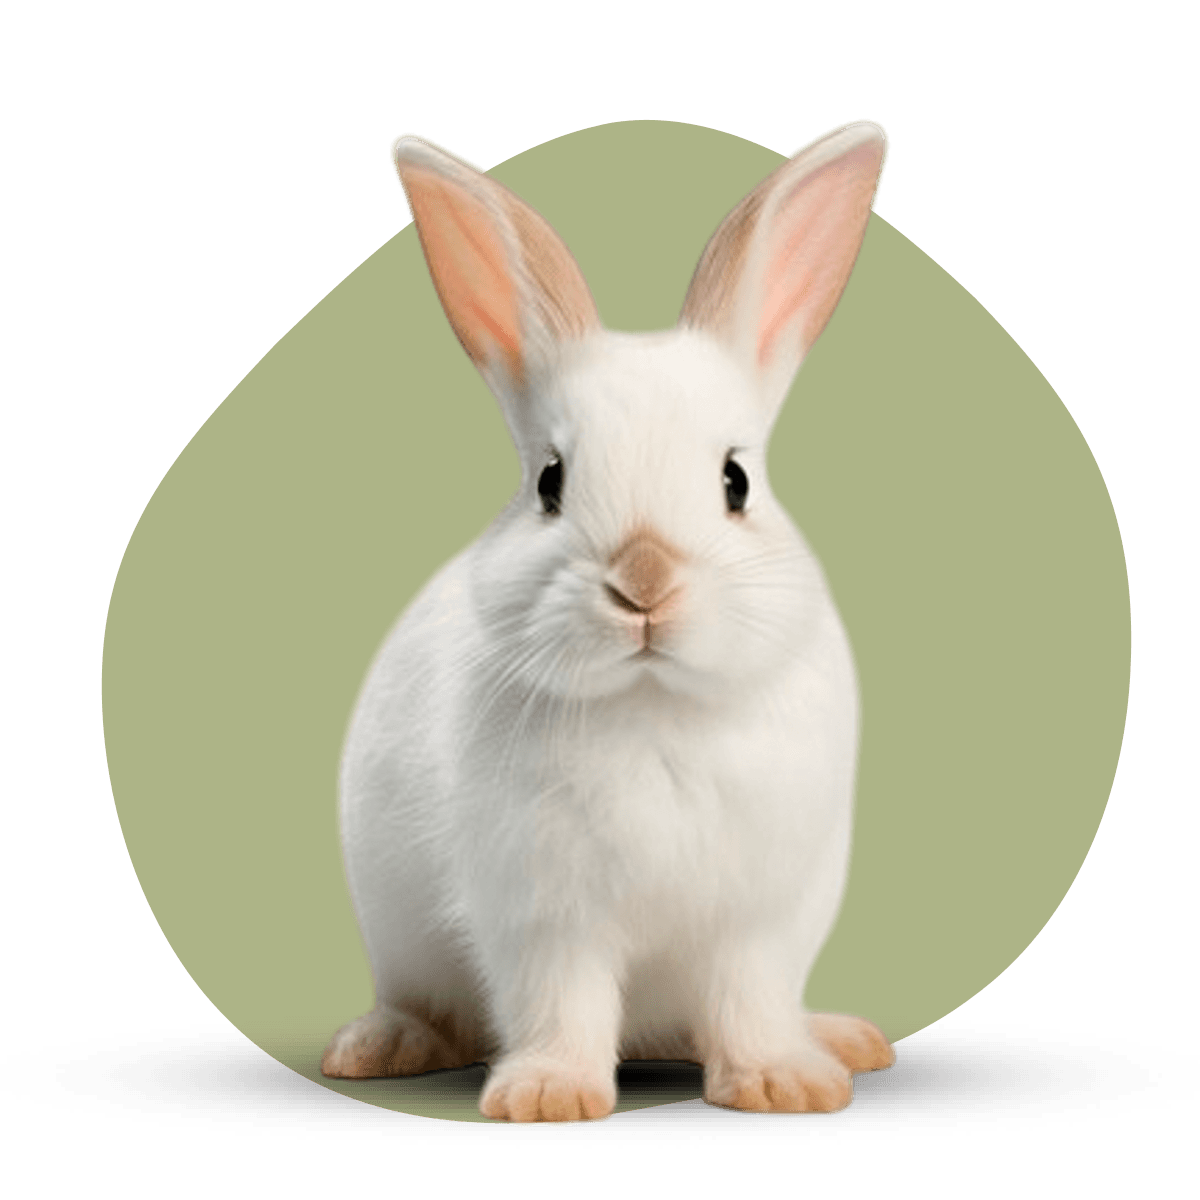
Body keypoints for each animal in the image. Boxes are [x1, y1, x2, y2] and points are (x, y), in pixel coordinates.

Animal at [320, 120, 896, 1125]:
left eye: (736, 480)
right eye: (550, 482)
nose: (644, 581)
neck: (652, 702)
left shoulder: (756, 919)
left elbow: (749, 1001)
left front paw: (783, 1086)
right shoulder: (545, 917)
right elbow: (563, 1001)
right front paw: (547, 1097)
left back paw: (841, 1041)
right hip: (399, 940)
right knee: (426, 1003)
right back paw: (380, 1047)